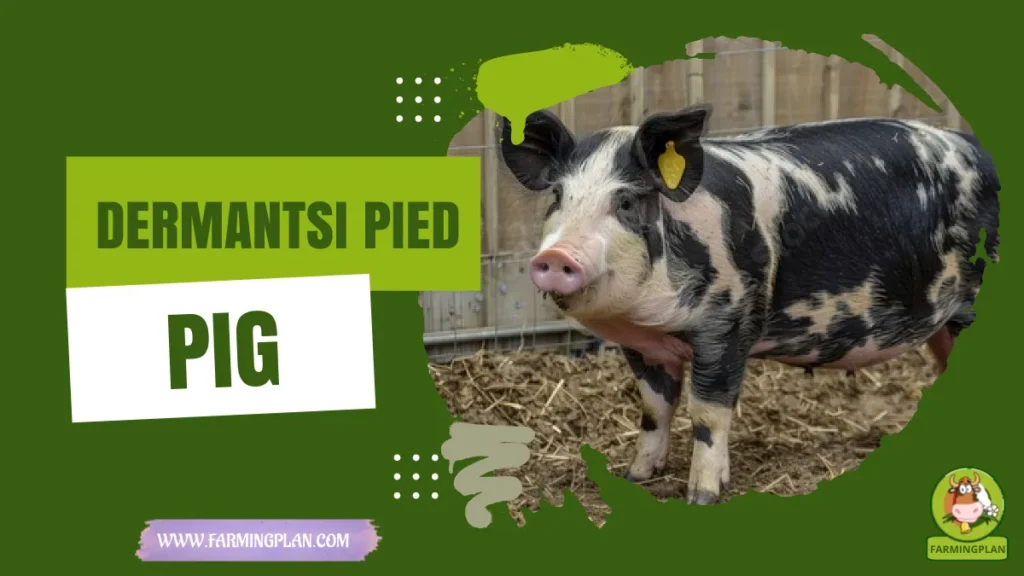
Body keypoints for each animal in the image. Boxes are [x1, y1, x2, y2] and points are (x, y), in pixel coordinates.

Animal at [497, 103, 1000, 505]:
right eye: (558, 197)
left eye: (625, 201)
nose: (555, 257)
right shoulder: (643, 345)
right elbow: (654, 410)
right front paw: (635, 477)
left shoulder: (729, 321)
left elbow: (707, 414)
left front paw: (701, 497)